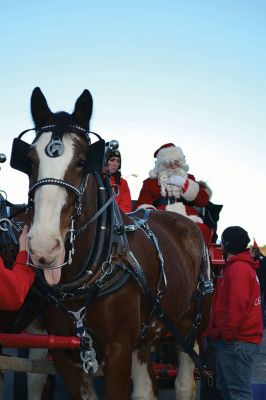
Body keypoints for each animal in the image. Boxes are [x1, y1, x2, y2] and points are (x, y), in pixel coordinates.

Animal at [10, 88, 213, 400]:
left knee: (184, 382)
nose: (43, 246)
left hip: (191, 327)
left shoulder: (118, 352)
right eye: (29, 161)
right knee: (145, 387)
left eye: (83, 162)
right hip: (147, 332)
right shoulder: (67, 355)